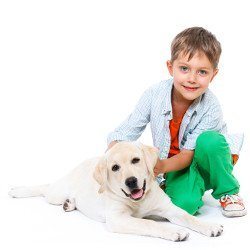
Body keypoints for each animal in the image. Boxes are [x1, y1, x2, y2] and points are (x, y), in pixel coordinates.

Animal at [8, 142, 223, 241]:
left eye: (136, 160)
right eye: (115, 168)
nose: (131, 181)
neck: (139, 200)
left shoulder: (169, 208)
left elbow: (189, 217)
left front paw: (210, 226)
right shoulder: (118, 218)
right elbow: (148, 223)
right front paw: (175, 231)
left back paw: (70, 204)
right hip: (56, 192)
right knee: (45, 189)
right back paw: (18, 191)